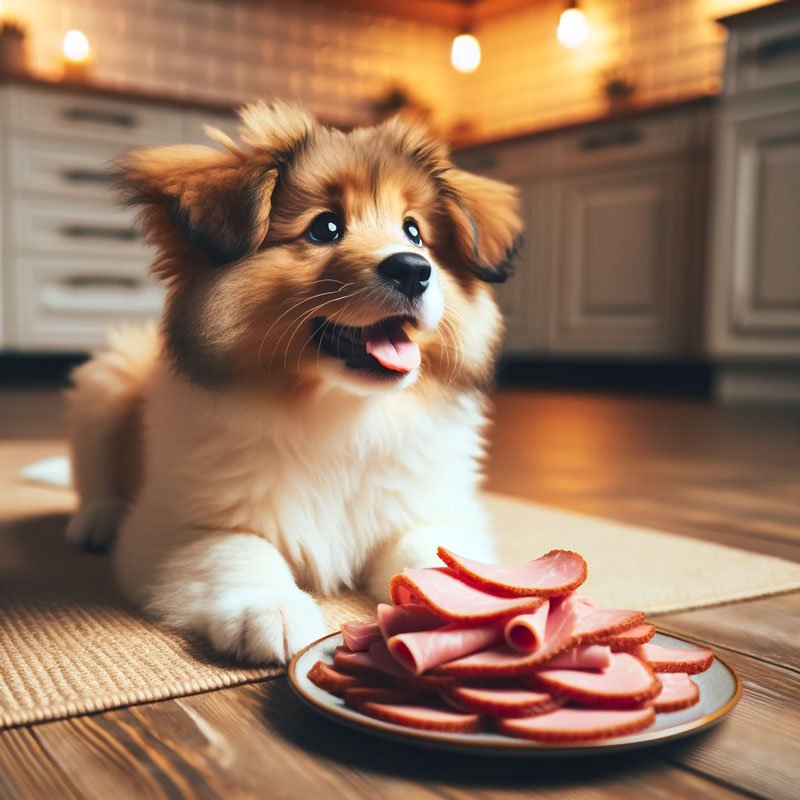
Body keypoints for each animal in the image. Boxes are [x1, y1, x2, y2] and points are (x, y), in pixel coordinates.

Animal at [65, 103, 520, 664]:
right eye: (325, 228)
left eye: (414, 232)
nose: (415, 270)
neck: (340, 412)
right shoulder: (177, 525)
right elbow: (239, 547)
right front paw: (270, 609)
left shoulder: (433, 510)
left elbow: (435, 551)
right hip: (105, 380)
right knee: (92, 477)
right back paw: (96, 519)